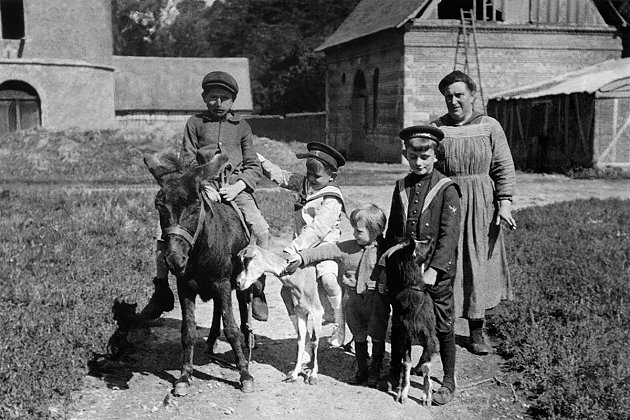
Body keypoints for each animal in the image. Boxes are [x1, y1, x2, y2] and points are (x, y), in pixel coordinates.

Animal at [237, 244, 326, 386]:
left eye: (247, 260)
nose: (238, 283)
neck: (300, 276)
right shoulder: (301, 312)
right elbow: (300, 340)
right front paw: (294, 375)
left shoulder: (317, 311)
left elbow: (315, 342)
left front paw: (313, 375)